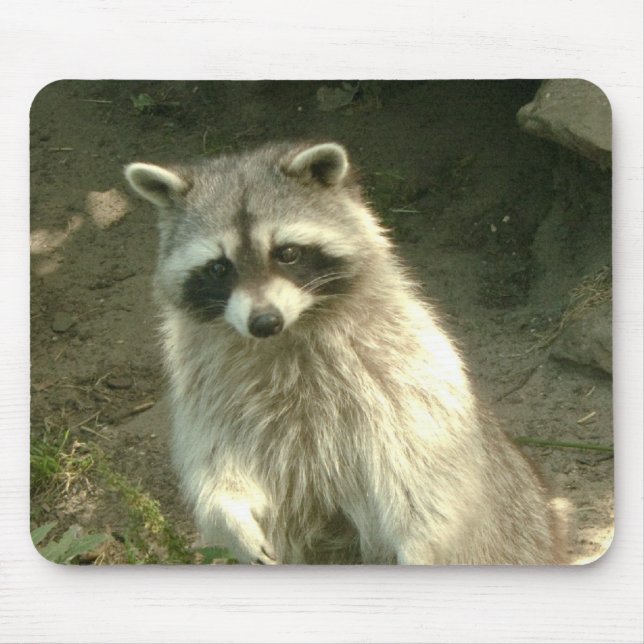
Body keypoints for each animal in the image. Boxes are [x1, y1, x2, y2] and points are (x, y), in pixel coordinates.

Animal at [125, 141, 564, 565]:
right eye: (219, 268)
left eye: (287, 253)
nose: (264, 322)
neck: (288, 334)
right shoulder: (206, 386)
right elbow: (214, 461)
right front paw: (230, 515)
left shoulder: (402, 367)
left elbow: (424, 472)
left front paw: (420, 541)